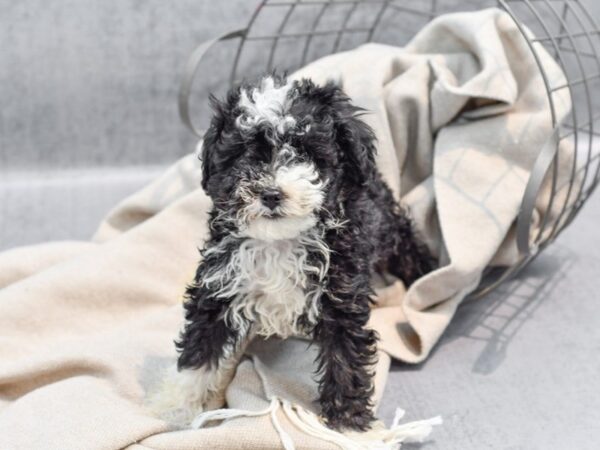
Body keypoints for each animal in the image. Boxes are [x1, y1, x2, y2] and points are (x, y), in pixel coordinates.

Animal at [171, 75, 434, 430]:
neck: (280, 241)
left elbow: (344, 357)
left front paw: (348, 423)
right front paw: (178, 407)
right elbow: (201, 346)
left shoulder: (342, 294)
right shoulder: (219, 281)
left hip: (389, 224)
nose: (271, 193)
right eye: (242, 155)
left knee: (408, 245)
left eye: (306, 152)